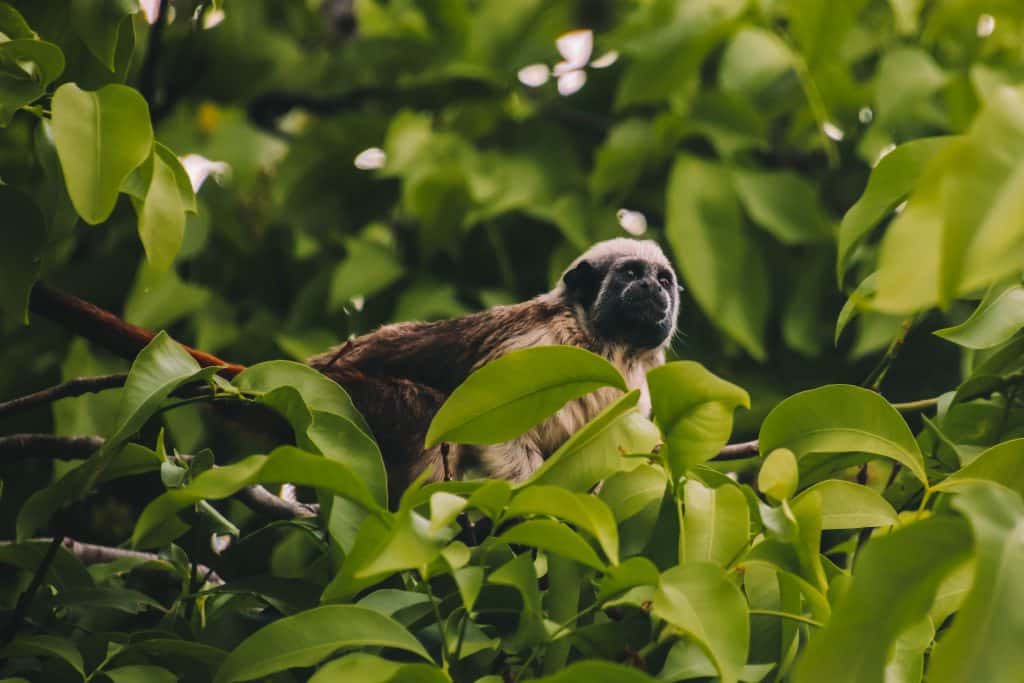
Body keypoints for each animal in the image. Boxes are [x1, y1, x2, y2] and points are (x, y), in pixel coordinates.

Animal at [309, 238, 680, 503]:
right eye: (631, 274)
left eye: (663, 280)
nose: (651, 287)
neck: (606, 348)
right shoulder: (539, 346)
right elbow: (494, 430)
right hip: (350, 395)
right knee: (429, 413)